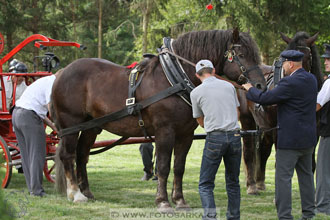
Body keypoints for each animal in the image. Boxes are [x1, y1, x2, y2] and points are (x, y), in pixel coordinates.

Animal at [52, 28, 268, 211]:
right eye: (242, 55)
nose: (260, 86)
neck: (173, 77)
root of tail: (62, 72)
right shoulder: (165, 131)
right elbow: (163, 166)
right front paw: (163, 202)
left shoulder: (185, 134)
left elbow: (179, 167)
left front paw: (180, 201)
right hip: (71, 124)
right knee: (67, 155)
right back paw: (76, 194)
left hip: (91, 126)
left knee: (82, 155)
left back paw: (87, 192)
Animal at [238, 31, 320, 194]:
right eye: (283, 57)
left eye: (307, 57)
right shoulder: (278, 130)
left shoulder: (315, 132)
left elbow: (310, 164)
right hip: (248, 121)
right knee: (249, 152)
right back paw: (252, 185)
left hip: (266, 128)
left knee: (263, 151)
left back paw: (260, 182)